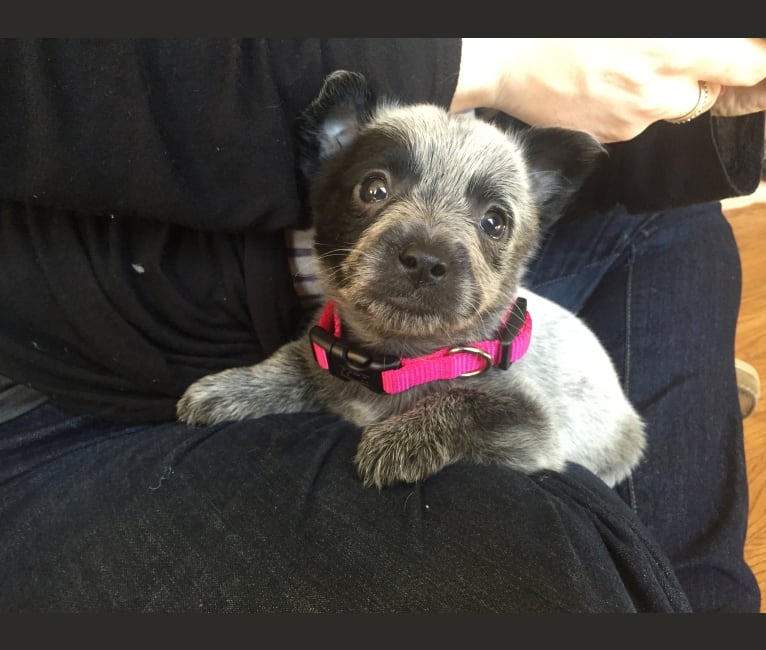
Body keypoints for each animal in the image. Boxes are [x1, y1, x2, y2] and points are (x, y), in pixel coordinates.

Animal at [176, 69, 648, 486]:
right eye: (374, 189)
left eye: (494, 222)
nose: (424, 260)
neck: (394, 361)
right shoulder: (318, 351)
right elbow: (290, 362)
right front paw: (231, 387)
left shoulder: (530, 426)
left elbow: (467, 406)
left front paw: (398, 442)